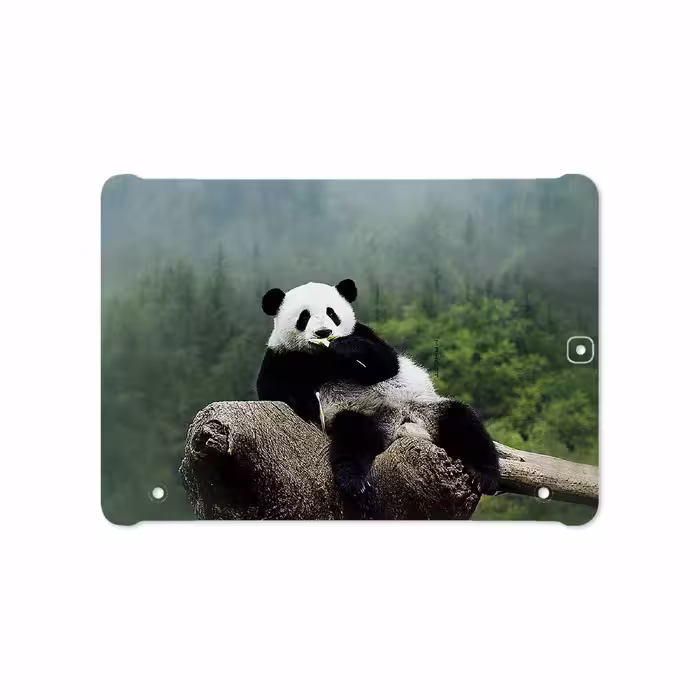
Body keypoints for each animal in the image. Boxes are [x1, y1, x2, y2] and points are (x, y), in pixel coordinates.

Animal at [256, 278, 499, 516]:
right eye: (304, 317)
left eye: (331, 313)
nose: (324, 332)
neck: (322, 356)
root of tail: (400, 425)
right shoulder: (282, 355)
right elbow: (271, 389)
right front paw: (306, 401)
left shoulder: (363, 333)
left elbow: (386, 363)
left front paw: (345, 347)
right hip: (361, 414)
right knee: (354, 435)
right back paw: (354, 481)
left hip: (425, 409)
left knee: (462, 421)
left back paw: (485, 475)